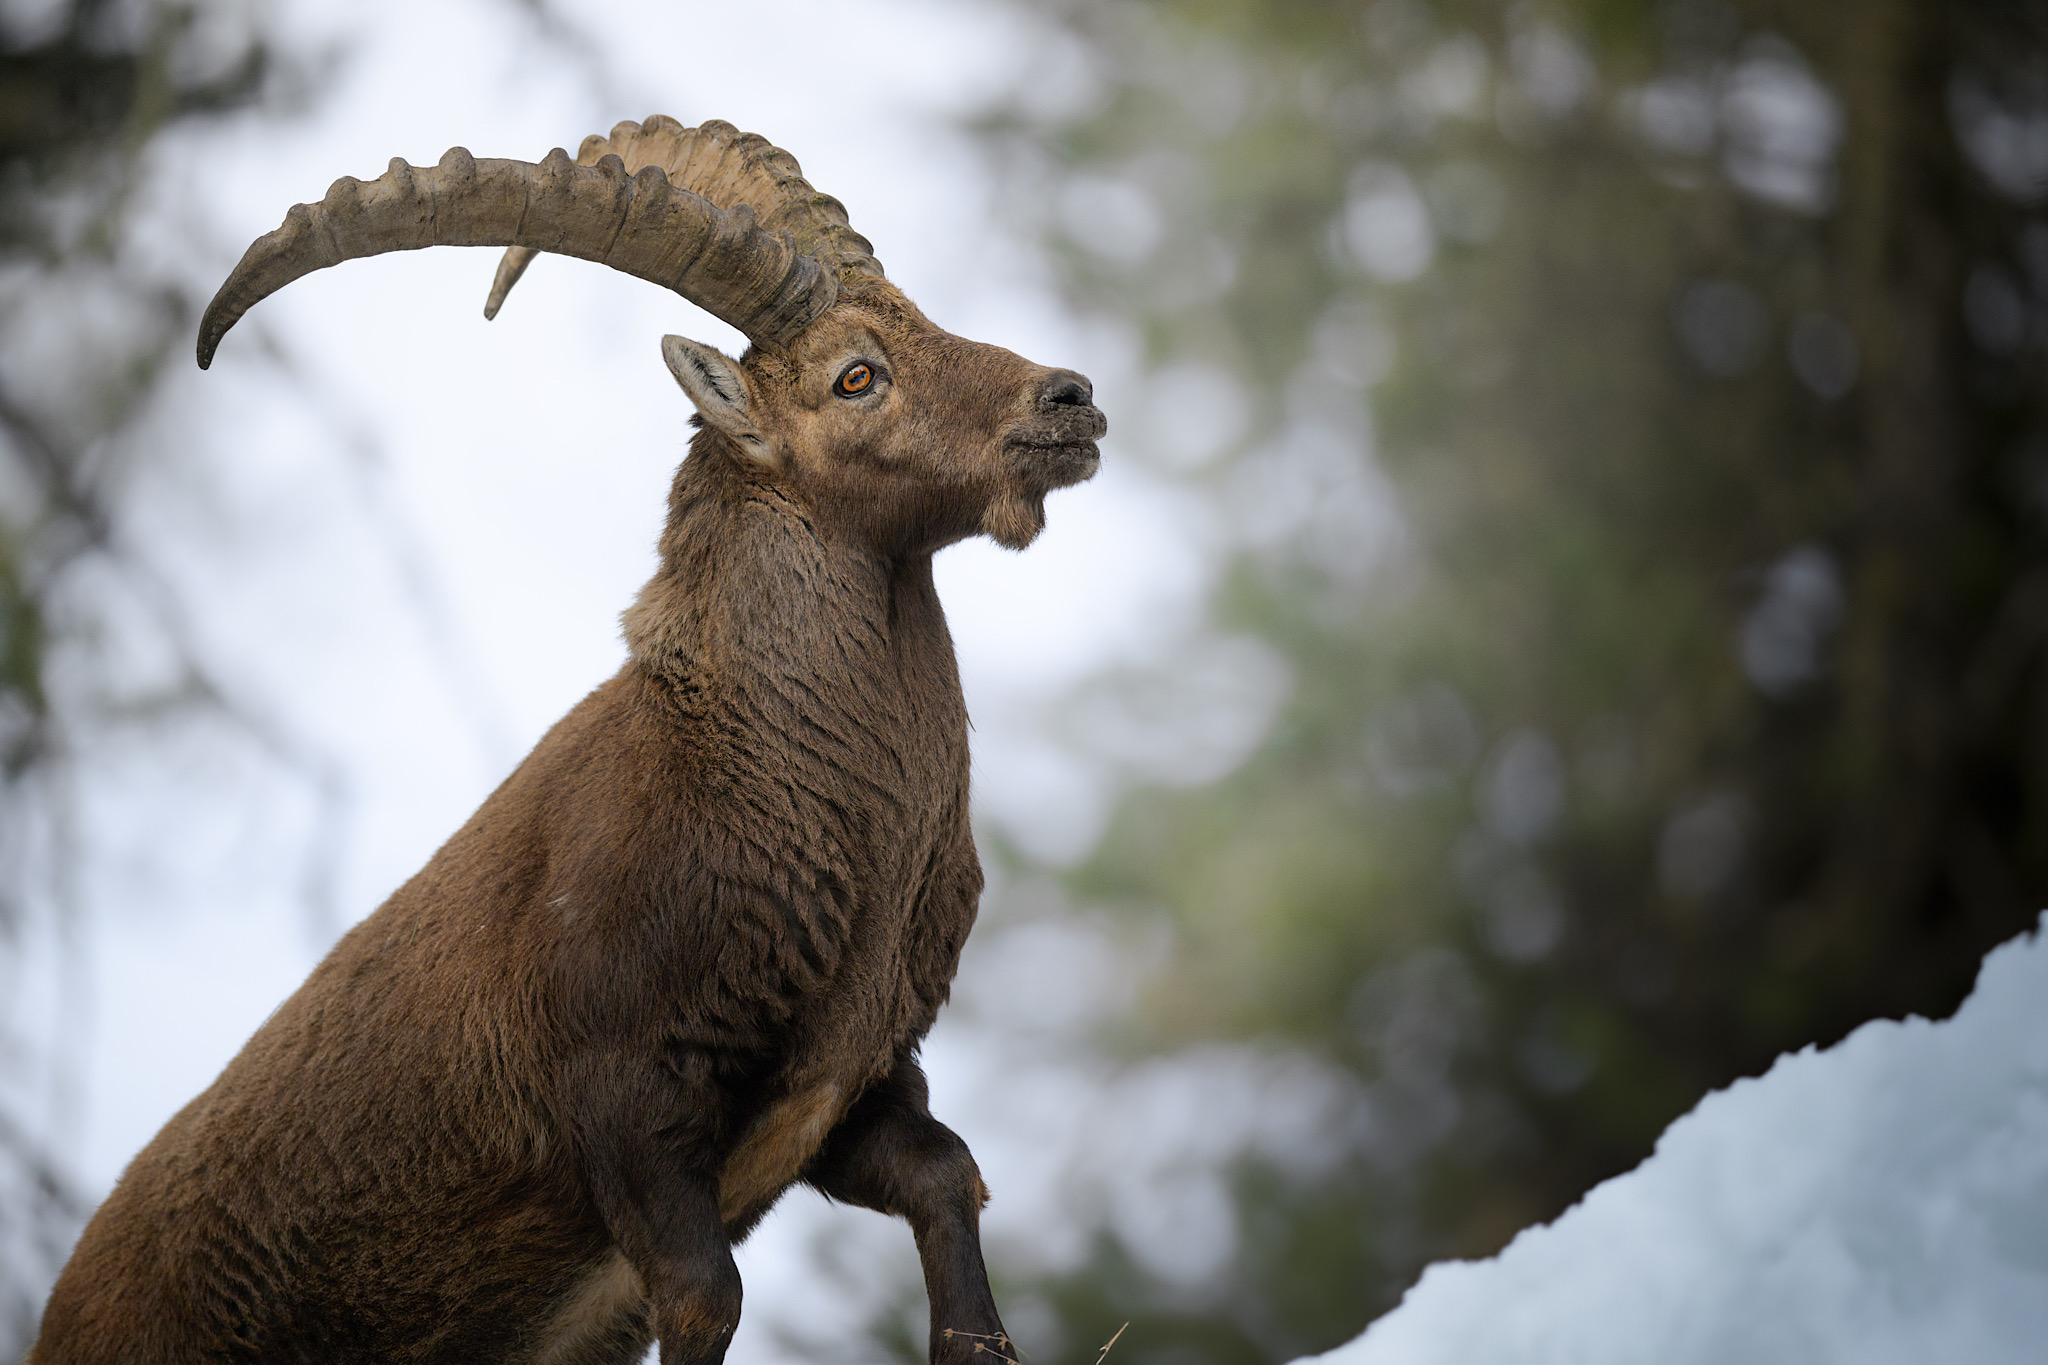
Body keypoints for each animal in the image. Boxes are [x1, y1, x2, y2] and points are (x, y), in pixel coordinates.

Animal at [31, 116, 1104, 1365]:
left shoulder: (856, 1080)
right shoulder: (626, 1093)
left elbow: (944, 1179)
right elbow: (703, 1294)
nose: (1070, 399)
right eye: (855, 376)